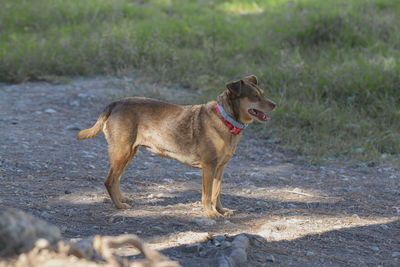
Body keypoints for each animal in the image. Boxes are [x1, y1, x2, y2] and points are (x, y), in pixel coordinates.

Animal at [77, 75, 276, 218]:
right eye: (255, 96)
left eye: (263, 93)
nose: (274, 104)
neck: (226, 120)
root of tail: (115, 103)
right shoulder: (208, 167)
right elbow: (207, 195)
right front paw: (211, 213)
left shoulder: (220, 168)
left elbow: (216, 193)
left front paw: (221, 210)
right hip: (122, 151)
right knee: (109, 180)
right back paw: (119, 205)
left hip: (129, 152)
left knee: (116, 178)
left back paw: (122, 198)